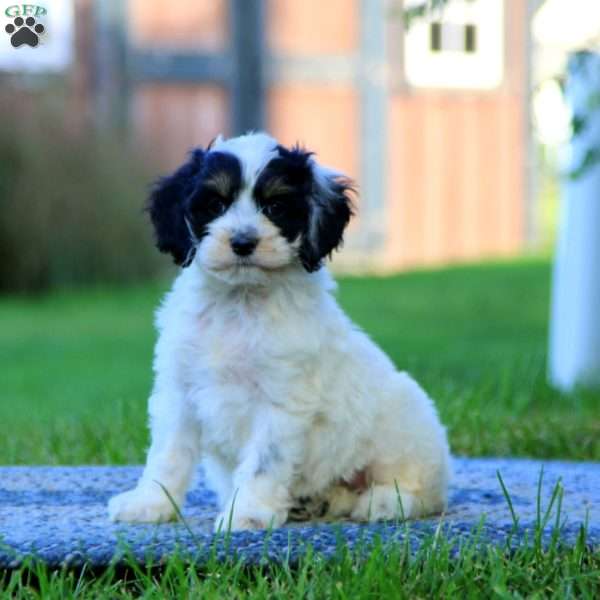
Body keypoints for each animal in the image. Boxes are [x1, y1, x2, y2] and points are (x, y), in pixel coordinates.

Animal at [110, 131, 452, 528]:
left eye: (275, 207)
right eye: (215, 204)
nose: (243, 242)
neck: (240, 303)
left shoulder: (280, 402)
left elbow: (263, 462)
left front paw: (244, 515)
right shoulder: (178, 391)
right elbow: (167, 454)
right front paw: (149, 504)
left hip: (405, 424)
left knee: (420, 490)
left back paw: (382, 502)